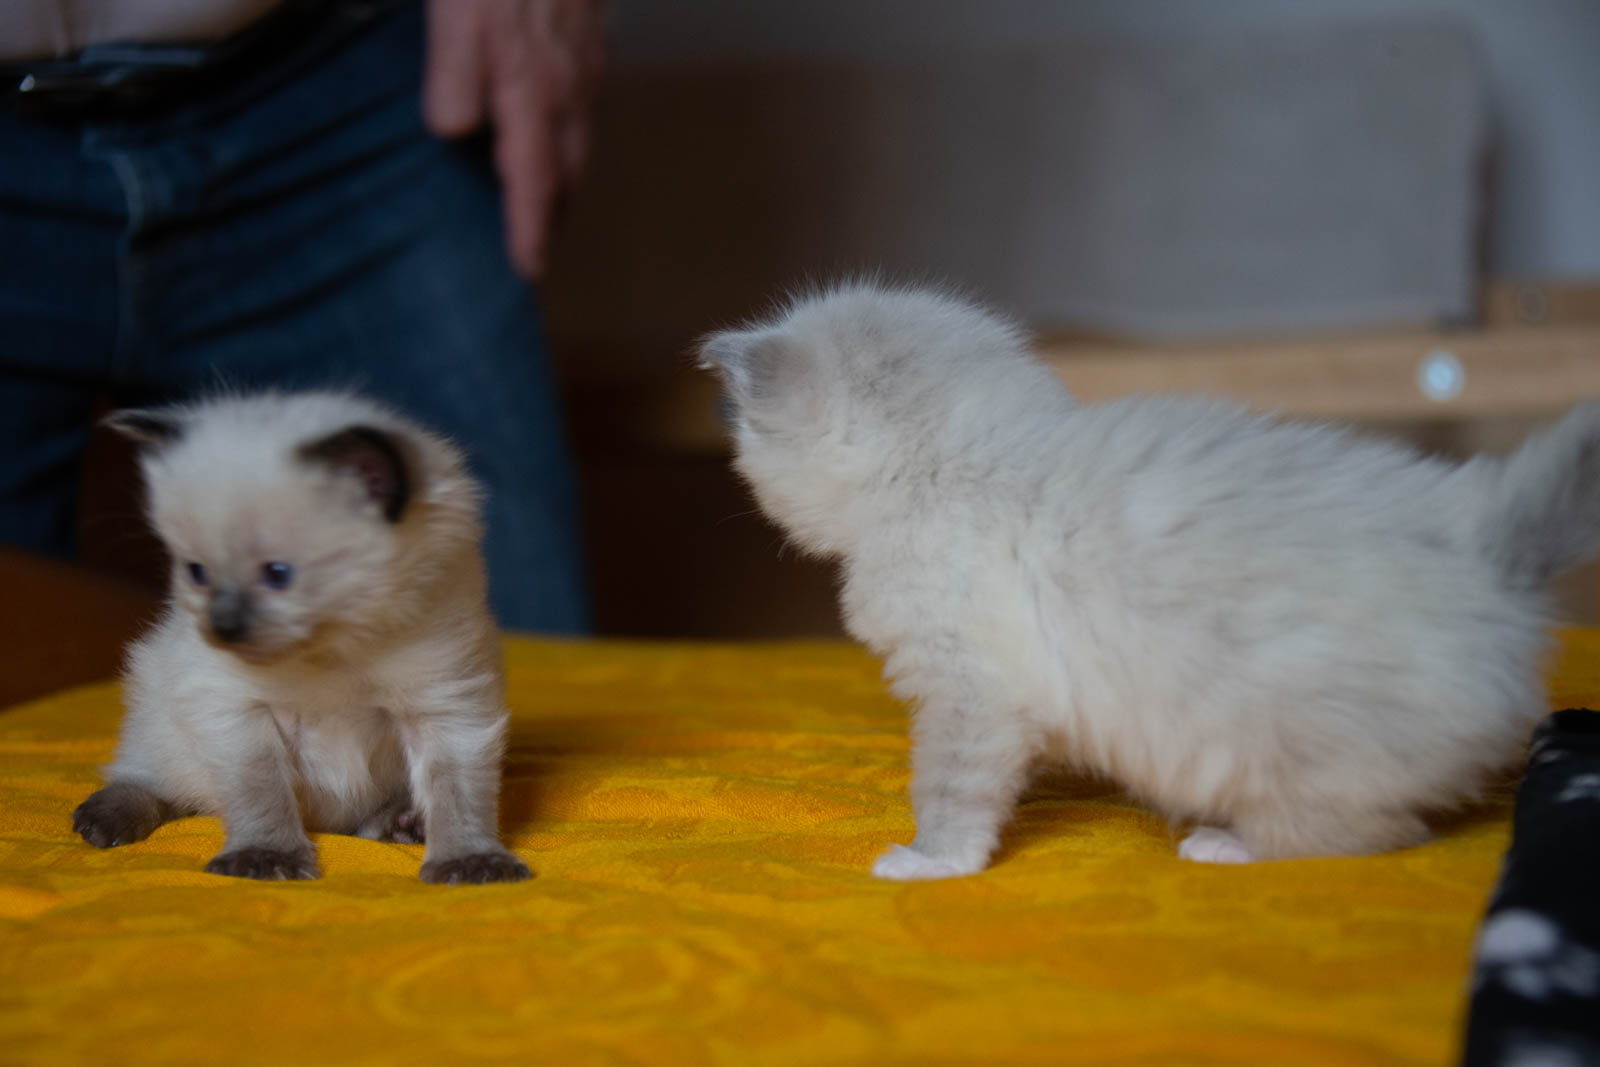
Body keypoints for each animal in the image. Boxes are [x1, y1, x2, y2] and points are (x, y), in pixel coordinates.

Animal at [72, 390, 529, 884]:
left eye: (278, 574)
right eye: (197, 572)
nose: (221, 629)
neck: (332, 654)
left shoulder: (446, 709)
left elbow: (457, 796)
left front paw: (468, 862)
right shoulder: (237, 712)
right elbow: (262, 792)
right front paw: (264, 858)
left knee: (371, 823)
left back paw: (404, 825)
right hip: (160, 725)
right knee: (148, 781)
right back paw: (101, 823)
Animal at [699, 282, 1600, 879]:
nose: (728, 437)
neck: (952, 469)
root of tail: (1485, 540)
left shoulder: (969, 687)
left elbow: (952, 790)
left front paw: (929, 860)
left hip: (1288, 739)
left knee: (1372, 832)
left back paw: (1225, 843)